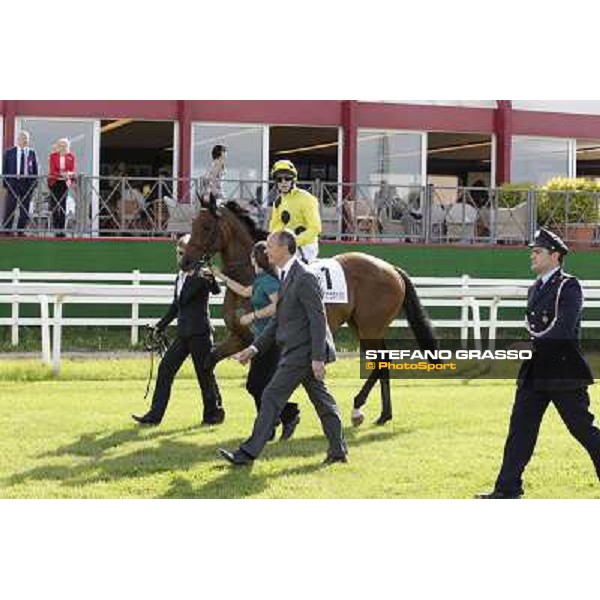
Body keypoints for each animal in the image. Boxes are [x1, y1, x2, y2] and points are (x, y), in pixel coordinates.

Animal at [180, 202, 438, 426]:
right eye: (193, 224)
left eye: (206, 227)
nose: (185, 261)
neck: (251, 275)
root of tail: (391, 269)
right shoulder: (239, 338)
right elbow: (208, 363)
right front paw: (216, 410)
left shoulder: (263, 342)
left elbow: (260, 384)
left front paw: (284, 415)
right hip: (362, 326)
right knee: (382, 361)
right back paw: (384, 414)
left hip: (369, 328)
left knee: (381, 362)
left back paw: (359, 407)